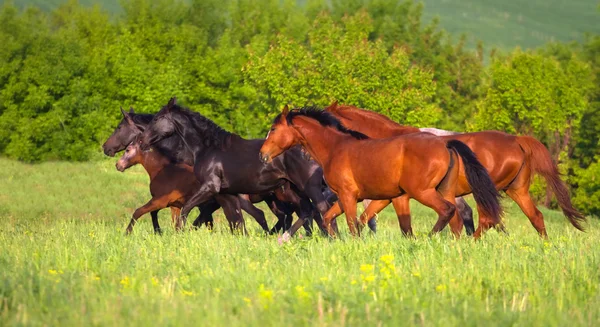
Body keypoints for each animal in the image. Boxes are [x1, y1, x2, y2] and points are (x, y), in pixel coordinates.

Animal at [140, 97, 376, 238]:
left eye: (158, 119)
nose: (142, 142)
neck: (209, 148)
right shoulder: (227, 194)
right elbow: (237, 221)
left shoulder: (210, 187)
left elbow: (185, 210)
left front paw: (179, 234)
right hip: (294, 190)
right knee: (309, 212)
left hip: (309, 188)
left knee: (322, 211)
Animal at [260, 107, 504, 238]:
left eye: (273, 129)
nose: (262, 155)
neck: (336, 147)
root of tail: (445, 143)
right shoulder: (376, 198)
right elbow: (338, 219)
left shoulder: (349, 196)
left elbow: (353, 225)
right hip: (445, 190)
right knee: (457, 218)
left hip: (423, 192)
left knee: (448, 211)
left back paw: (430, 238)